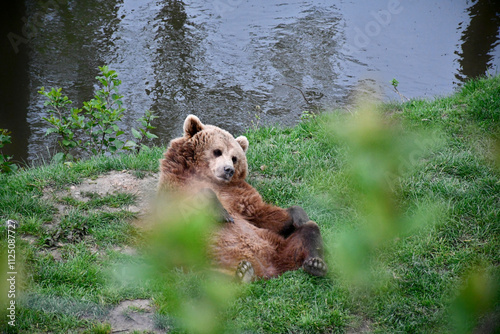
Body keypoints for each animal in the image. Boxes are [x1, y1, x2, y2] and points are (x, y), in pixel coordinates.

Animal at [158, 115, 326, 282]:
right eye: (217, 151)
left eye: (234, 158)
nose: (229, 170)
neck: (212, 180)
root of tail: (269, 271)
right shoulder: (178, 182)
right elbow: (180, 206)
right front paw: (223, 213)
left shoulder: (238, 194)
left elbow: (262, 214)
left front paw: (299, 216)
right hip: (201, 257)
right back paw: (243, 273)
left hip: (277, 245)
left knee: (309, 231)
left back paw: (315, 264)